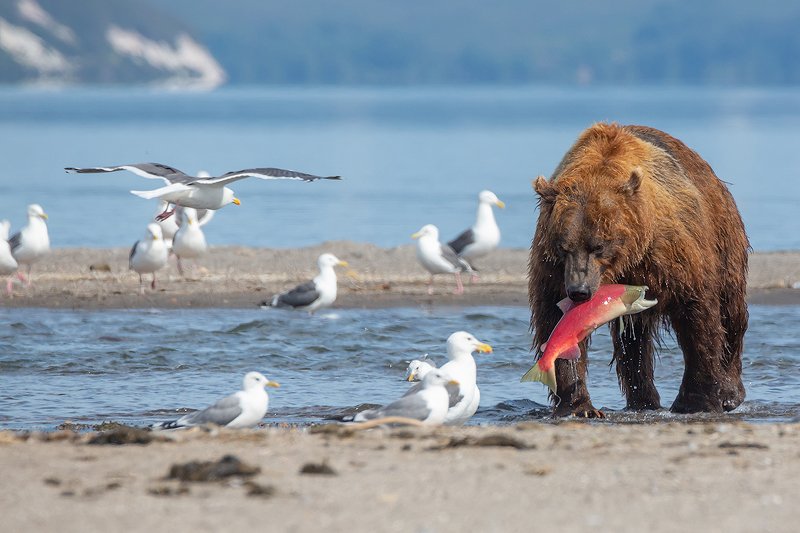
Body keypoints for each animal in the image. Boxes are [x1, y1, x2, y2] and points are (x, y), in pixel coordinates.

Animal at [529, 123, 749, 417]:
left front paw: (696, 402)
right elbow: (555, 320)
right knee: (633, 342)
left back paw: (730, 393)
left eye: (598, 245)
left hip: (725, 236)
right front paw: (579, 406)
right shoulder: (551, 268)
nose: (579, 291)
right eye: (564, 247)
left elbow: (698, 316)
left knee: (731, 310)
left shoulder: (674, 254)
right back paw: (643, 401)